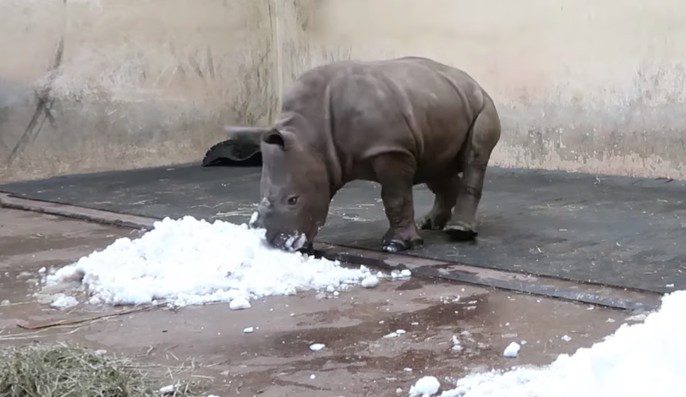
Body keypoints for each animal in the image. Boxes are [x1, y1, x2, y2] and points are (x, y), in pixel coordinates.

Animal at [234, 56, 502, 251]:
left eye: (293, 200)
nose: (279, 244)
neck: (311, 136)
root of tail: (473, 82)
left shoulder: (390, 148)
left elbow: (395, 198)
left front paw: (396, 245)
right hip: (438, 105)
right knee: (435, 166)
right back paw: (431, 224)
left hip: (483, 105)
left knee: (474, 155)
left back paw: (458, 232)